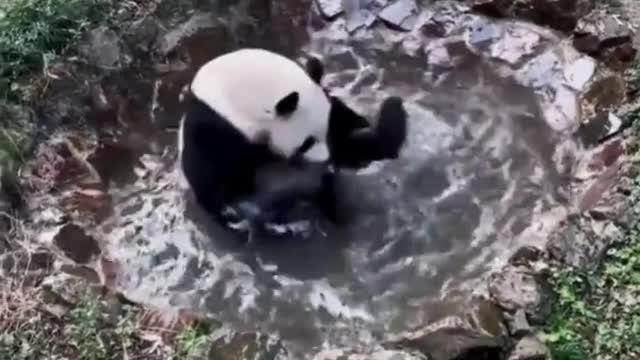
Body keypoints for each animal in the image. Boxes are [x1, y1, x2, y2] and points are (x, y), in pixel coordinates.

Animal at [176, 47, 404, 233]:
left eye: (327, 130)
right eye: (306, 143)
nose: (326, 161)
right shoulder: (216, 126)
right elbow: (210, 173)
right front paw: (230, 211)